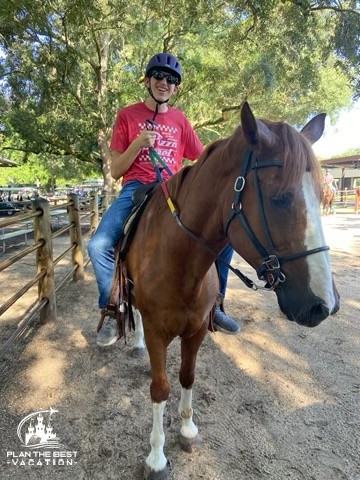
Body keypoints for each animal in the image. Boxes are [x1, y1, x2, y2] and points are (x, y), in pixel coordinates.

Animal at [122, 102, 338, 480]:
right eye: (280, 199)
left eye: (322, 195)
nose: (323, 305)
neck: (180, 261)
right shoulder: (157, 332)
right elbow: (160, 388)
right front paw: (156, 457)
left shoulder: (195, 331)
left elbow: (188, 376)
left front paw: (188, 430)